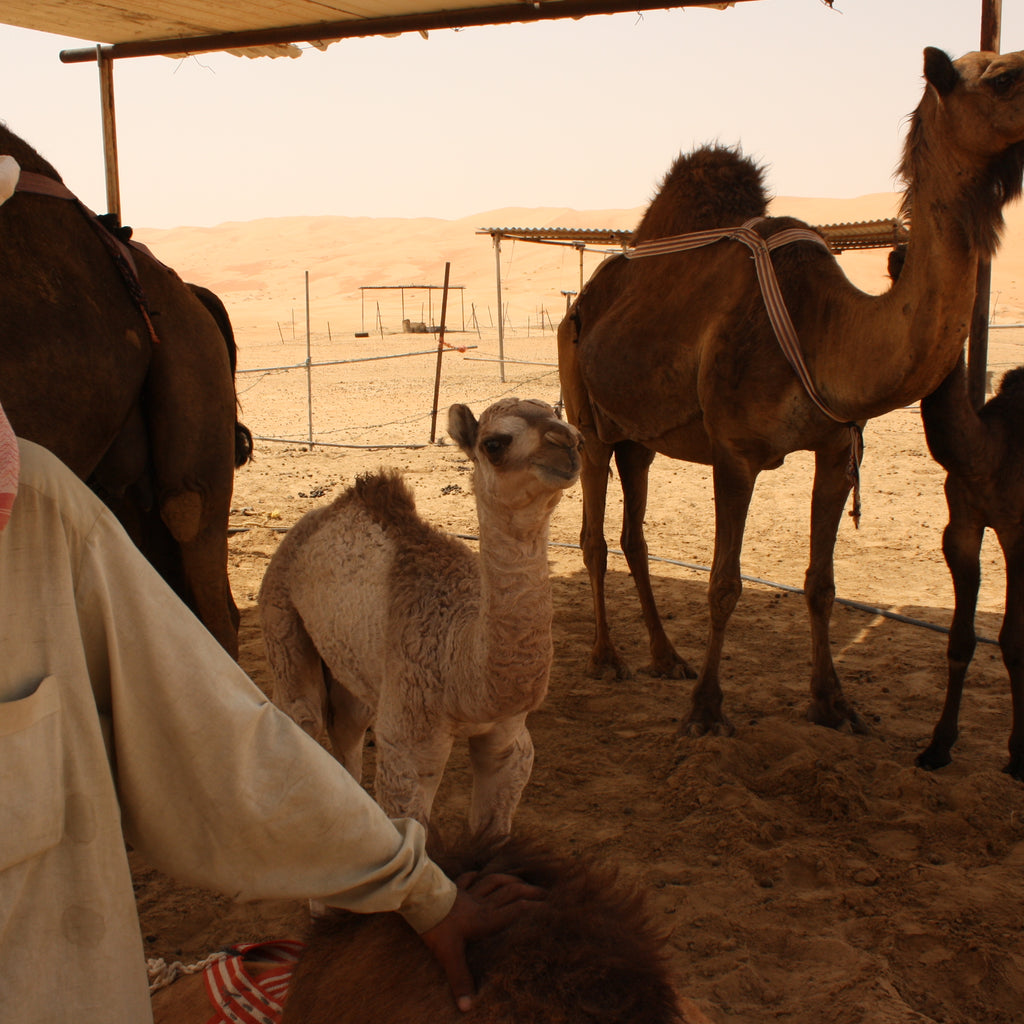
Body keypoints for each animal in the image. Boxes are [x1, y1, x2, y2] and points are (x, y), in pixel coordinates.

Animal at [258, 398, 581, 838]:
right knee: (302, 713)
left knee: (348, 724)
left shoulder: (509, 743)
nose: (567, 445)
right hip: (279, 609)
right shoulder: (408, 745)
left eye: (576, 432)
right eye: (494, 444)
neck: (462, 671)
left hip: (355, 667)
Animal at [557, 47, 1024, 737]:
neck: (824, 326)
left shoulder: (835, 448)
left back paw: (667, 657)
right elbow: (723, 584)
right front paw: (706, 711)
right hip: (588, 415)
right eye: (1004, 77)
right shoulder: (735, 452)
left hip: (638, 437)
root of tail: (584, 299)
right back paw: (606, 658)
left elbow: (821, 584)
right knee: (593, 536)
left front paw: (832, 702)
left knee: (635, 534)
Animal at [915, 355, 1024, 779]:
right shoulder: (961, 525)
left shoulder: (1017, 532)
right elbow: (960, 639)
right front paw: (937, 747)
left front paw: (1018, 755)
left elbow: (1013, 641)